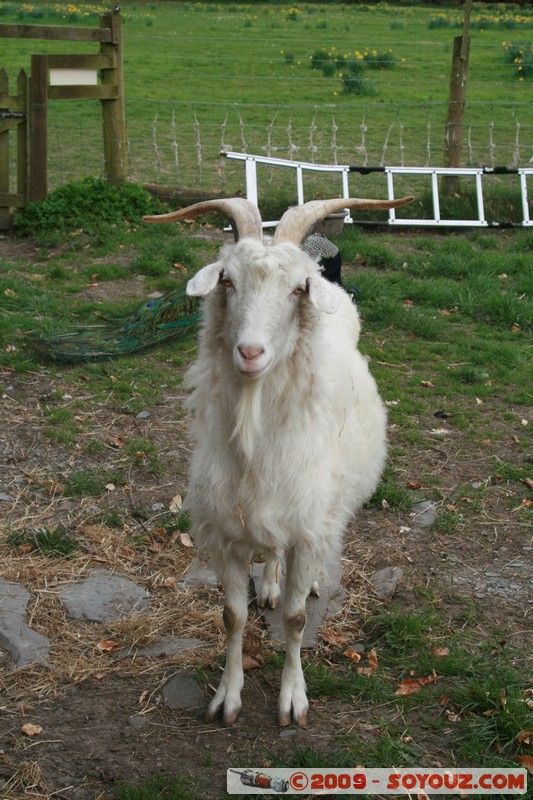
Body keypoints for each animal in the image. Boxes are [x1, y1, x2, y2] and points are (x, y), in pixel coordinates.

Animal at [144, 195, 412, 727]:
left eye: (297, 289)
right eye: (227, 281)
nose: (250, 352)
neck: (256, 439)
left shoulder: (307, 529)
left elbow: (295, 617)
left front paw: (293, 698)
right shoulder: (227, 531)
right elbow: (232, 616)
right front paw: (227, 697)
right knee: (270, 555)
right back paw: (269, 581)